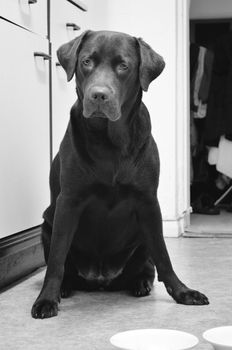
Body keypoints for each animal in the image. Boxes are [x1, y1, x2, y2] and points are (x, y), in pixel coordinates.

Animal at [31, 31, 208, 318]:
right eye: (86, 62)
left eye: (123, 66)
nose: (98, 95)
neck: (109, 140)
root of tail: (100, 278)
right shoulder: (68, 202)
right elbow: (57, 258)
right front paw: (47, 299)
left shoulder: (148, 202)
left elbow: (164, 256)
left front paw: (183, 292)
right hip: (48, 222)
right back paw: (65, 287)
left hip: (141, 236)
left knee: (149, 266)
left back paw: (140, 283)